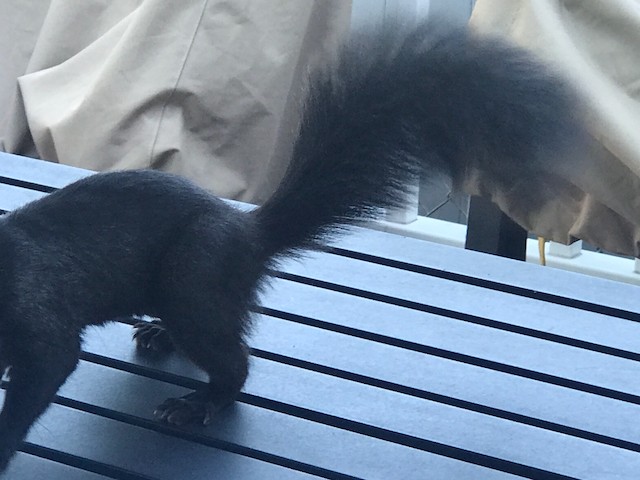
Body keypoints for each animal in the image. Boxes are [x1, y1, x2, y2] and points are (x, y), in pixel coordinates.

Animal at [0, 20, 584, 470]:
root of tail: (248, 236)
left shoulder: (36, 316)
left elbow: (44, 370)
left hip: (195, 277)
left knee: (233, 362)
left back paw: (198, 403)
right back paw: (161, 335)